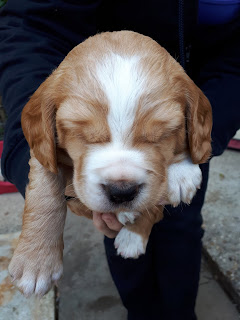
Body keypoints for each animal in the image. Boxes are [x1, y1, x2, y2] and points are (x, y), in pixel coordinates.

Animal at [8, 31, 212, 296]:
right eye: (81, 134)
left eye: (163, 134)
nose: (122, 191)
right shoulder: (44, 149)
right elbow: (44, 194)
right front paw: (36, 263)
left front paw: (182, 173)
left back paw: (131, 238)